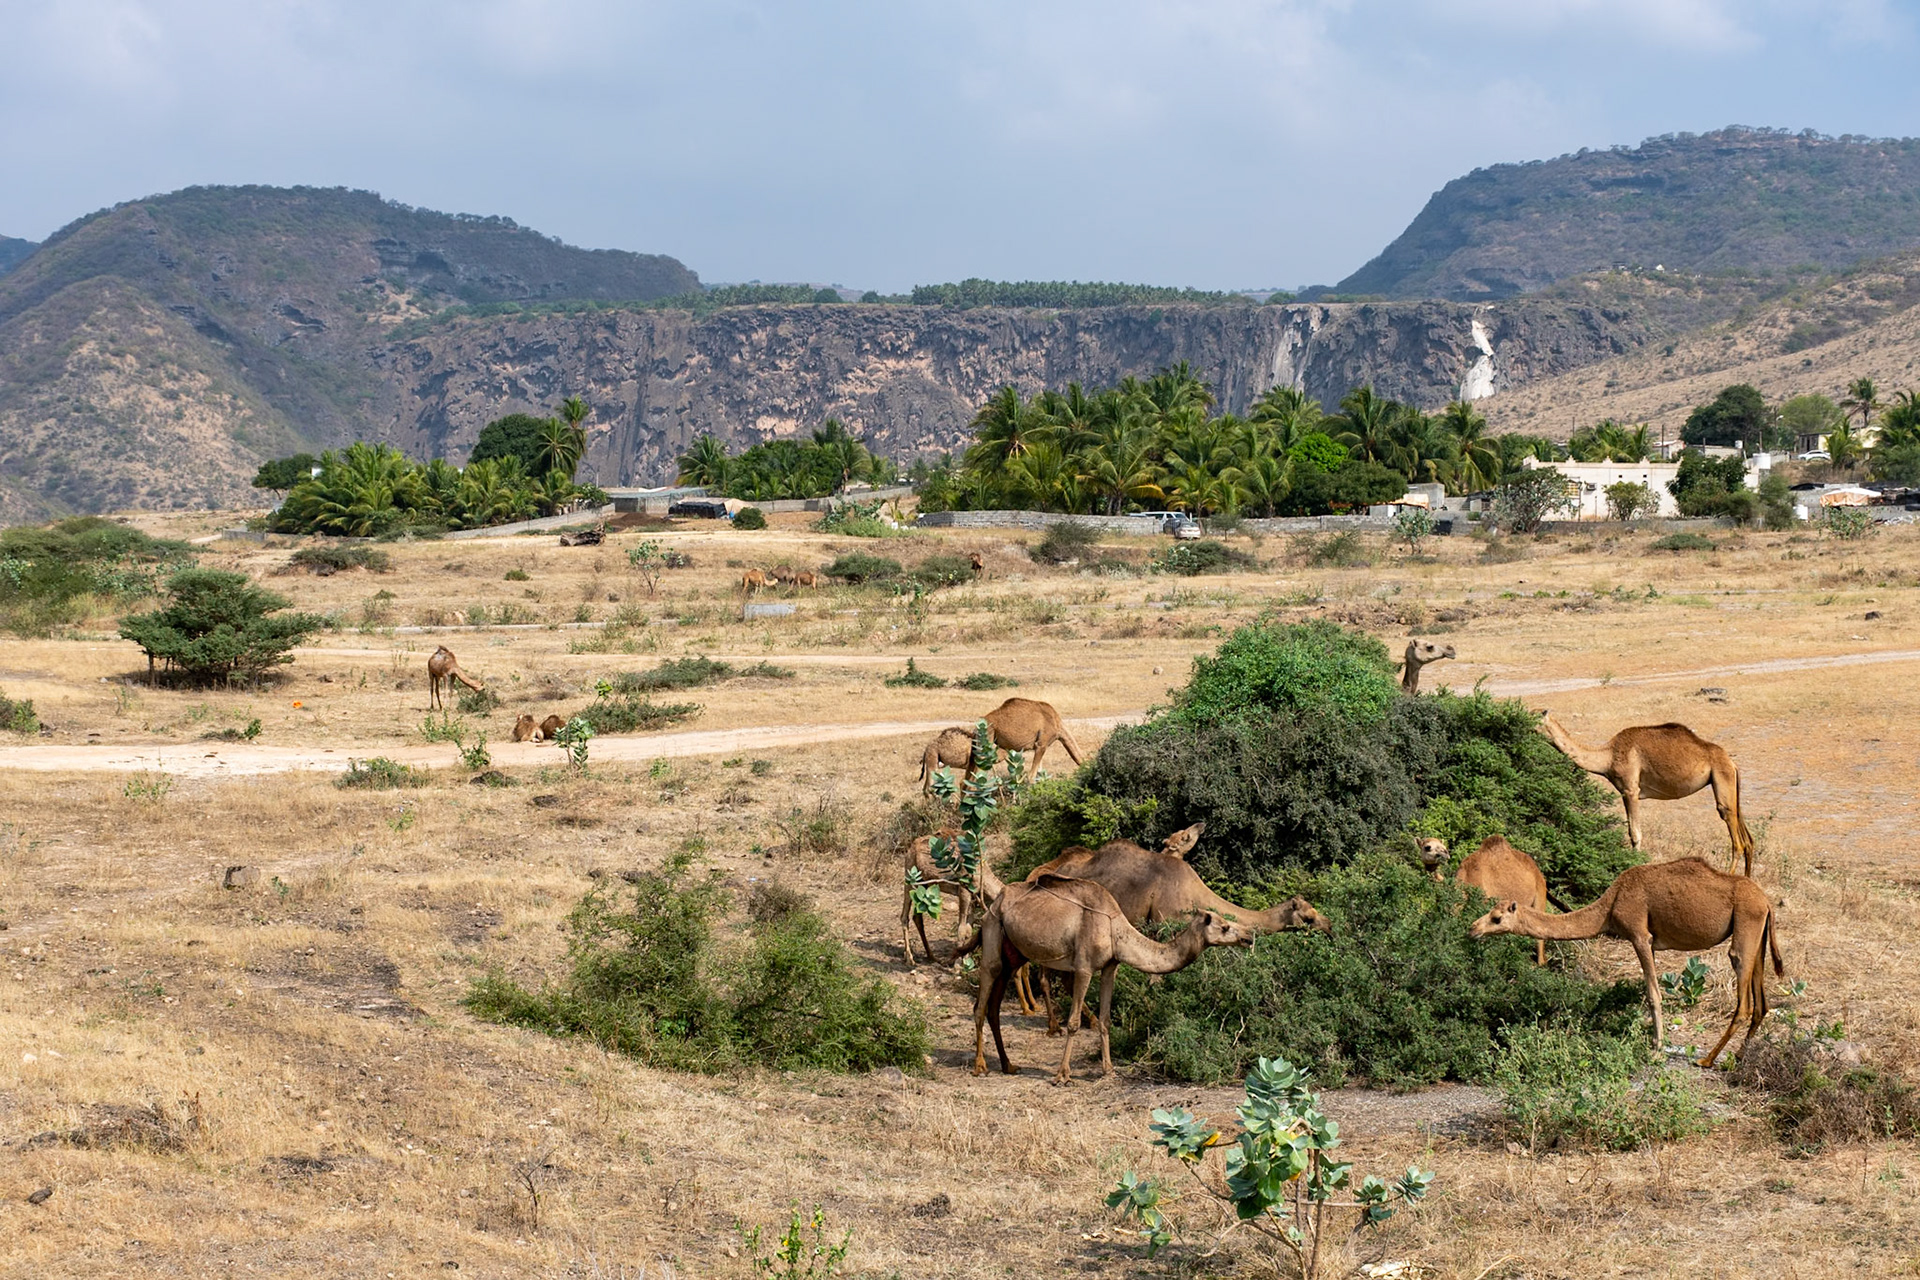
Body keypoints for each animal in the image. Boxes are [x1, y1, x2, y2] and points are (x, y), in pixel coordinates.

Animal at [899, 830, 1007, 966]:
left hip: (925, 884)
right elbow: (961, 929)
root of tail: (911, 847)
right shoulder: (963, 890)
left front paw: (967, 962)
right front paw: (958, 965)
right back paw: (910, 958)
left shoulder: (974, 896)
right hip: (909, 876)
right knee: (904, 916)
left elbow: (969, 930)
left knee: (917, 916)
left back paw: (932, 957)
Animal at [971, 875, 1256, 1083]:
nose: (1249, 936)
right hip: (992, 931)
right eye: (1224, 927)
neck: (1114, 929)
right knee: (982, 1000)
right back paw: (980, 1066)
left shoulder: (1110, 967)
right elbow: (1073, 1022)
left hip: (1013, 953)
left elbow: (1106, 1020)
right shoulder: (1084, 968)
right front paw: (1062, 1075)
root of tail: (993, 904)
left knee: (994, 1006)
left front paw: (1108, 1070)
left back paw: (1008, 1065)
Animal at [1469, 857, 1782, 1067]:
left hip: (1746, 923)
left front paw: (1657, 1050)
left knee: (1743, 995)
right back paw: (1738, 1057)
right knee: (1762, 1001)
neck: (1610, 906)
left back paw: (1708, 1060)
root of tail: (1766, 901)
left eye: (1496, 918)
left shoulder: (1639, 935)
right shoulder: (1651, 943)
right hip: (1757, 933)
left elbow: (1653, 994)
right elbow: (1652, 991)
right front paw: (1655, 1042)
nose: (1473, 928)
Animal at [1539, 713, 1754, 875]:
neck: (1608, 756)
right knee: (1748, 840)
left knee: (1736, 838)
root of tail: (1732, 763)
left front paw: (1631, 867)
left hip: (1722, 778)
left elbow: (1635, 834)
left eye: (1536, 716)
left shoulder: (1630, 790)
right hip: (1730, 785)